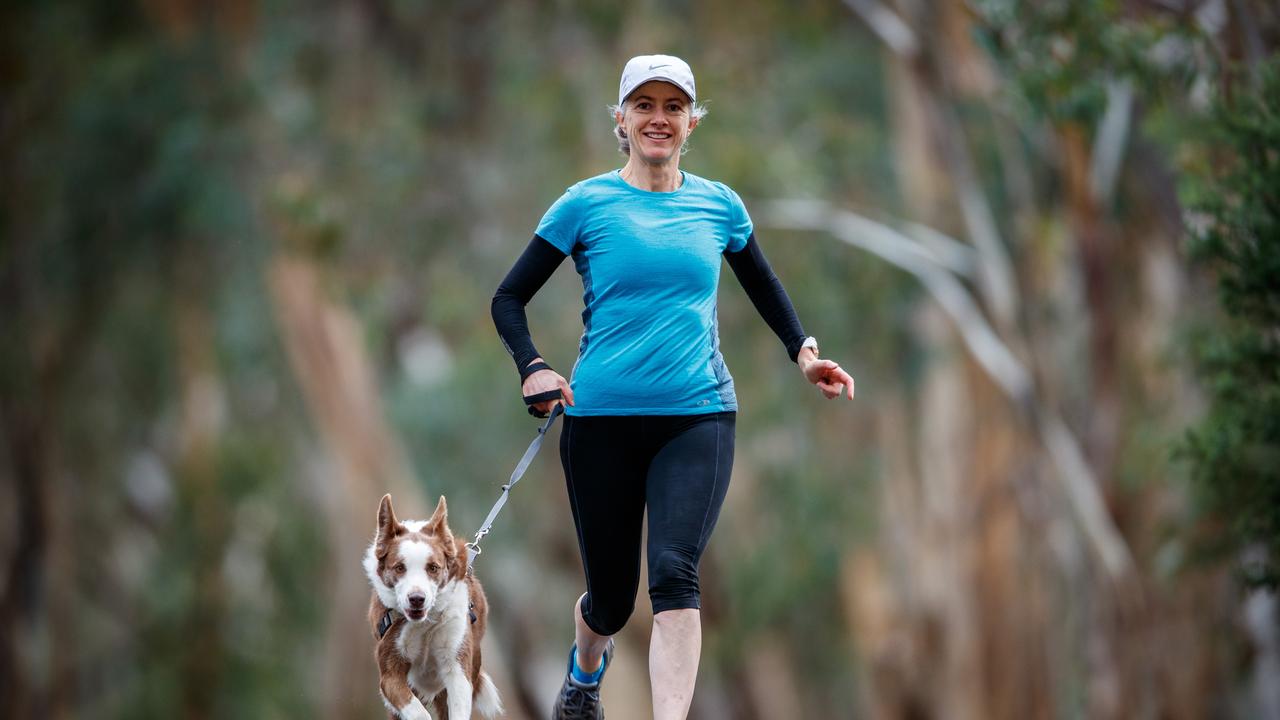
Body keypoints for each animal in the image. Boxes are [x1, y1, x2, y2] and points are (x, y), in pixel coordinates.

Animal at [363, 491, 501, 717]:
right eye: (399, 567)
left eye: (433, 568)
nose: (417, 598)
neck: (425, 623)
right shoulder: (390, 673)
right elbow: (418, 711)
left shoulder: (457, 665)